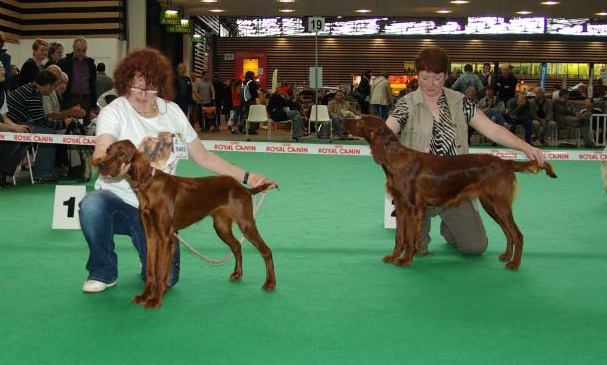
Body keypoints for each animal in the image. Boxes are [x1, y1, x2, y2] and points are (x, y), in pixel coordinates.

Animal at [94, 139, 276, 308]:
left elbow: (160, 271)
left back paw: (270, 283)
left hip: (246, 224)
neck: (150, 186)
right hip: (221, 226)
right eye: (108, 150)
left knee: (266, 250)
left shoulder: (165, 237)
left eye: (121, 153)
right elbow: (151, 270)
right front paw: (145, 296)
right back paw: (238, 274)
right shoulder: (151, 235)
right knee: (237, 246)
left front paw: (155, 300)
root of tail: (243, 188)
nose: (100, 164)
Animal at [344, 115, 560, 268]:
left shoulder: (413, 208)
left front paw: (405, 260)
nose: (344, 120)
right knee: (508, 232)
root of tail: (505, 163)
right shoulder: (402, 206)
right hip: (490, 205)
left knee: (517, 234)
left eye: (360, 120)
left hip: (500, 203)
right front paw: (394, 256)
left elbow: (409, 237)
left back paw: (515, 263)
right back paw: (507, 256)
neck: (394, 158)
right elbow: (400, 237)